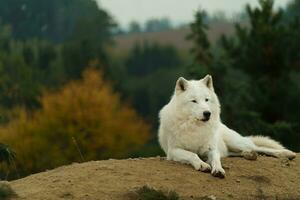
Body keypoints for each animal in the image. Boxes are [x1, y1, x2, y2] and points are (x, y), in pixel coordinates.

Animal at [158, 75, 296, 178]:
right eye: (194, 101)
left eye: (206, 99)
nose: (207, 113)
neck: (196, 127)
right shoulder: (173, 150)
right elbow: (192, 155)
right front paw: (202, 165)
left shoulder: (212, 148)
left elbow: (216, 159)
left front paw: (218, 170)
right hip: (231, 148)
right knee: (240, 152)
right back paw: (249, 155)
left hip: (236, 142)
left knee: (259, 148)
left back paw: (285, 153)